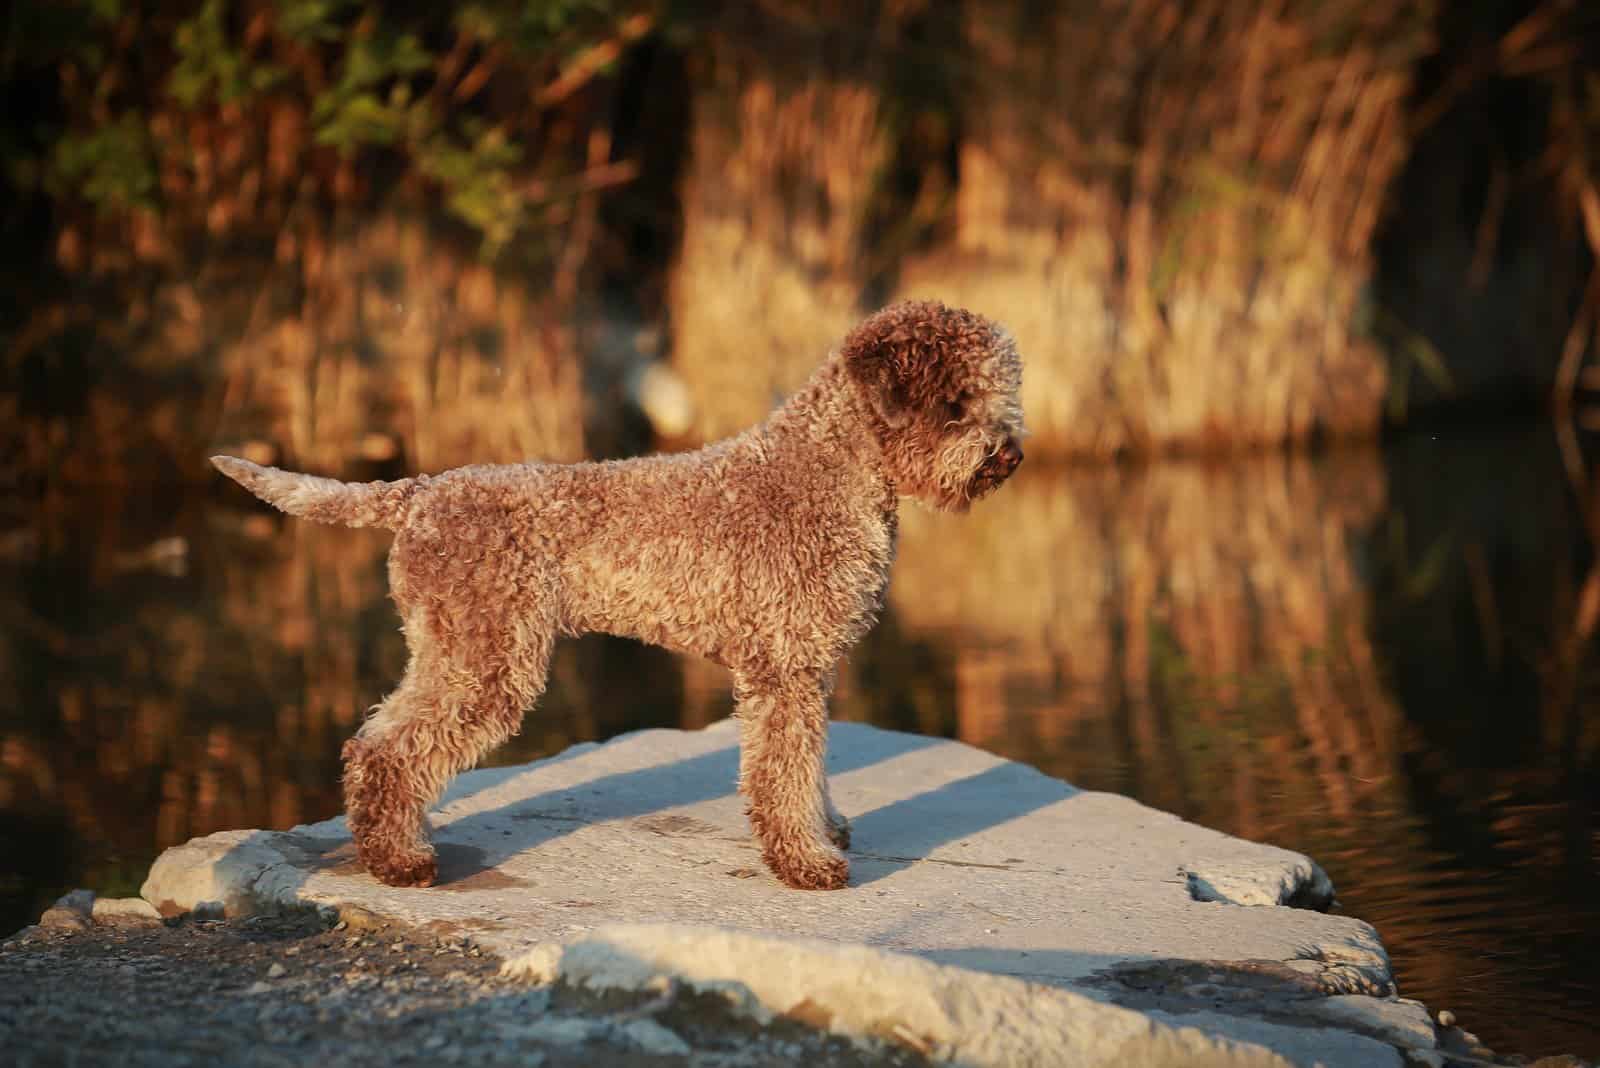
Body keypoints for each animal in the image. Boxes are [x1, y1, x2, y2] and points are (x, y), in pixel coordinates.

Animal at [209, 300, 1024, 895]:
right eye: (956, 402)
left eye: (999, 395)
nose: (1010, 455)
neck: (831, 471)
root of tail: (419, 492)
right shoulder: (784, 669)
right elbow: (783, 772)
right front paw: (807, 862)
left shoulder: (810, 669)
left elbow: (810, 766)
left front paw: (827, 829)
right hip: (485, 659)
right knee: (385, 749)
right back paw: (399, 862)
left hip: (454, 650)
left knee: (377, 740)